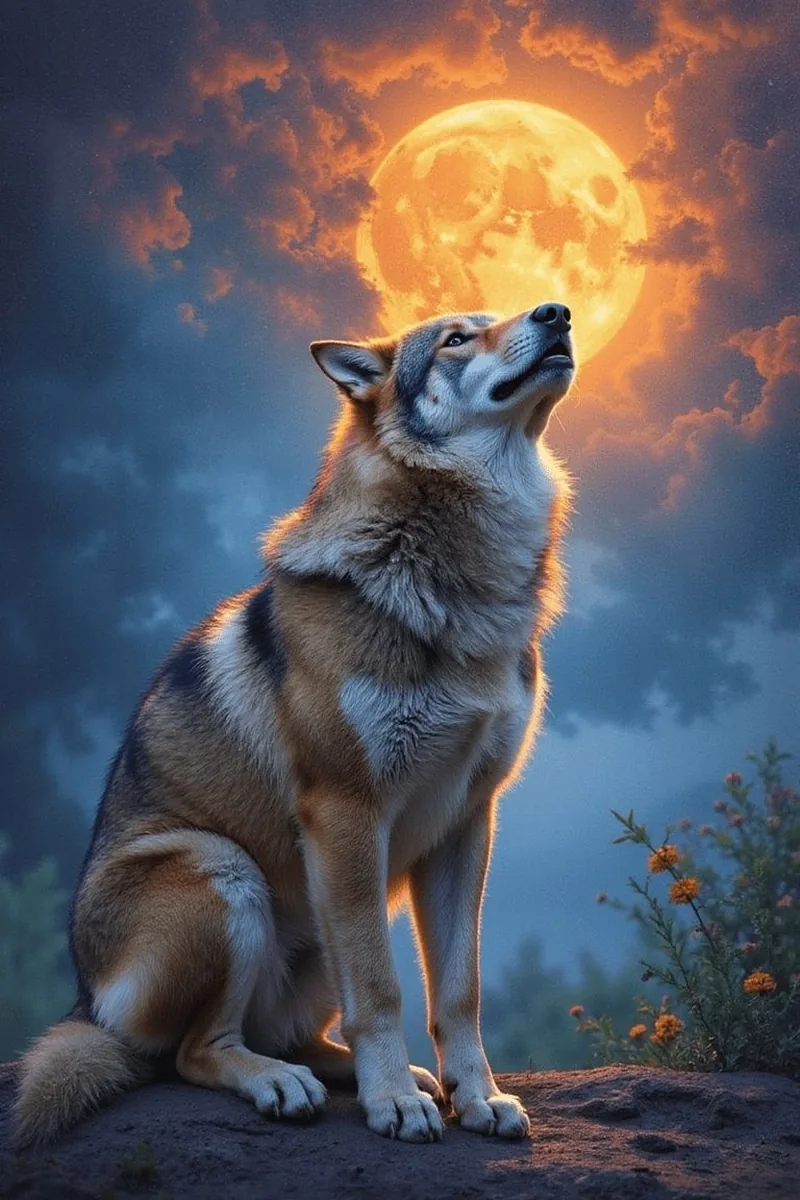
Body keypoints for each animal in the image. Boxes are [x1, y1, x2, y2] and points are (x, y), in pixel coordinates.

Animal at [14, 302, 575, 1146]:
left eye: (499, 314)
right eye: (455, 338)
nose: (558, 312)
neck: (457, 586)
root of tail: (86, 1008)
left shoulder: (467, 822)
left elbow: (459, 991)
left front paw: (476, 1097)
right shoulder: (345, 811)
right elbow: (382, 989)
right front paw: (396, 1106)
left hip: (317, 925)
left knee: (289, 1031)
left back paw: (366, 1073)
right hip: (227, 873)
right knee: (196, 1053)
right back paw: (286, 1084)